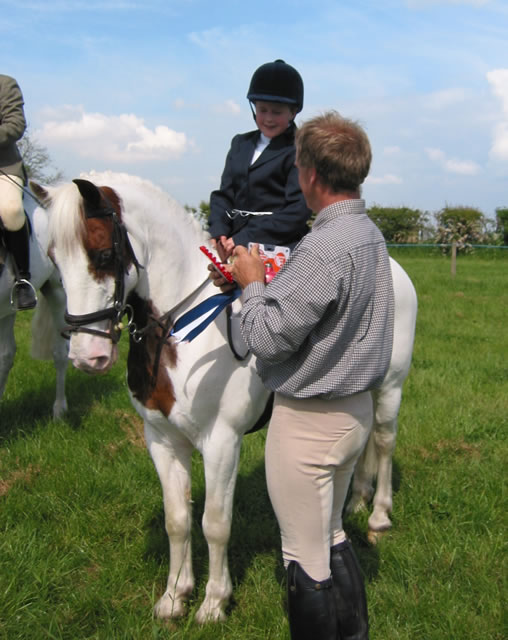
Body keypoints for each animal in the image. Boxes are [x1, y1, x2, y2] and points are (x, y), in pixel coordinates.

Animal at [31, 172, 418, 624]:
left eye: (104, 253)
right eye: (54, 261)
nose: (87, 356)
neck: (179, 328)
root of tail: (392, 267)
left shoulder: (221, 442)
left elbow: (215, 523)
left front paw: (214, 602)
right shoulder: (161, 439)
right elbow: (178, 519)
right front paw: (174, 596)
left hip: (389, 387)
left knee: (384, 442)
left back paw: (378, 516)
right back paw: (355, 502)